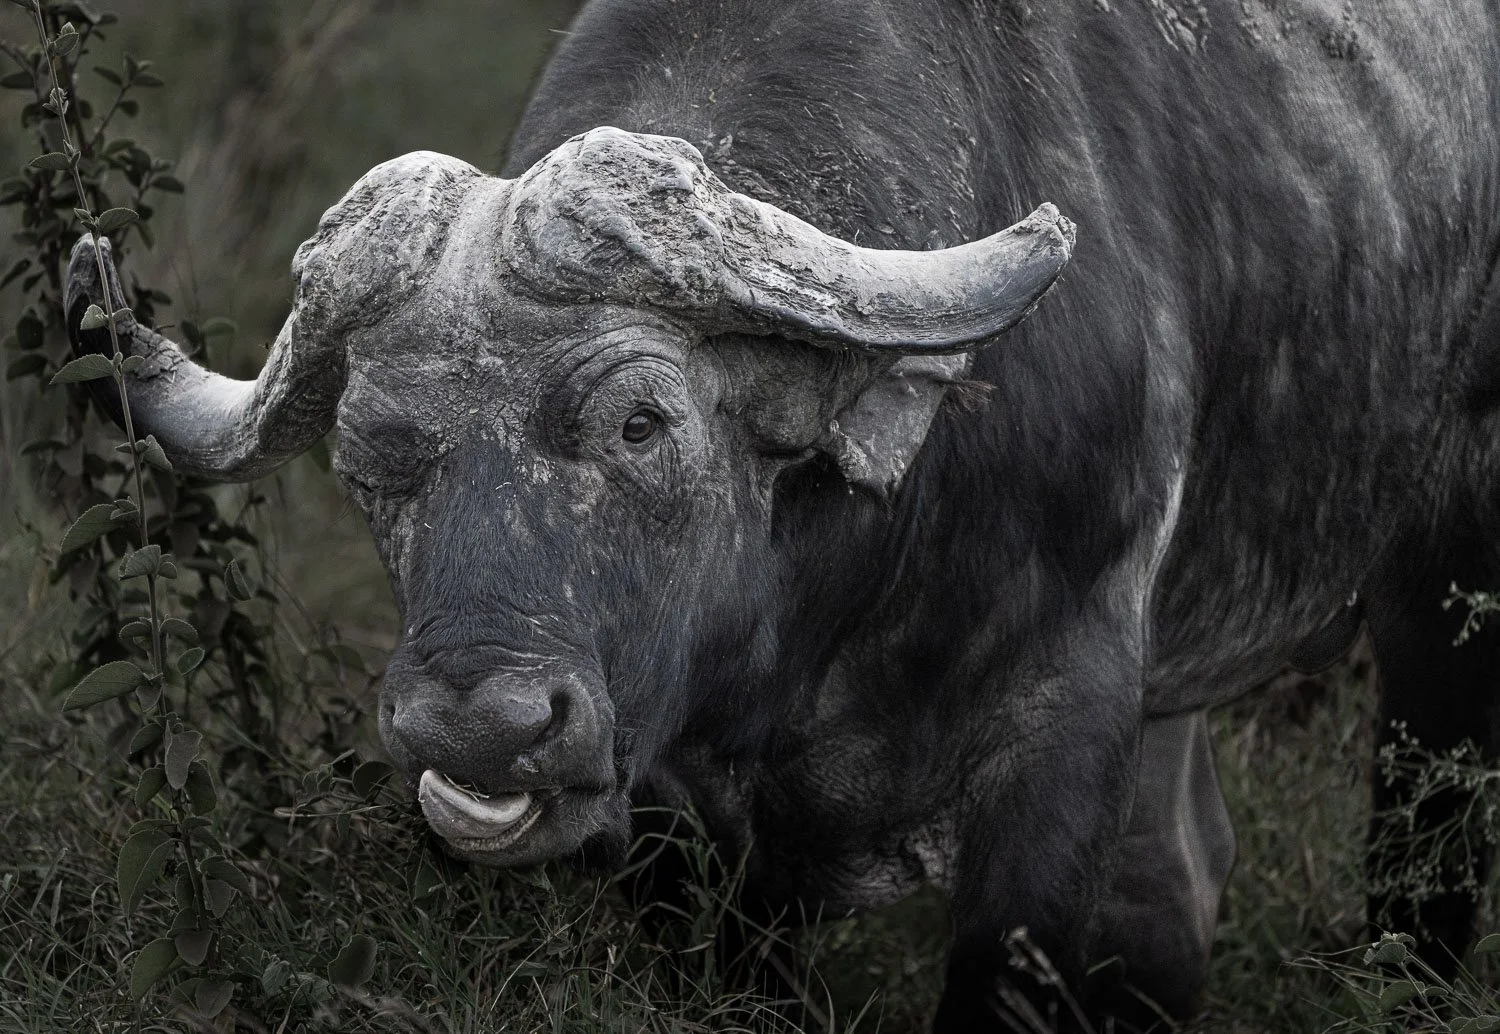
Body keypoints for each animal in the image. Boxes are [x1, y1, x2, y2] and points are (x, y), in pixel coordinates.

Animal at [68, 0, 1500, 1028]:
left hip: (1440, 606)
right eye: (370, 454)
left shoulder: (1070, 715)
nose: (480, 720)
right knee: (1179, 885)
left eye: (642, 423)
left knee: (1421, 854)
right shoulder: (690, 822)